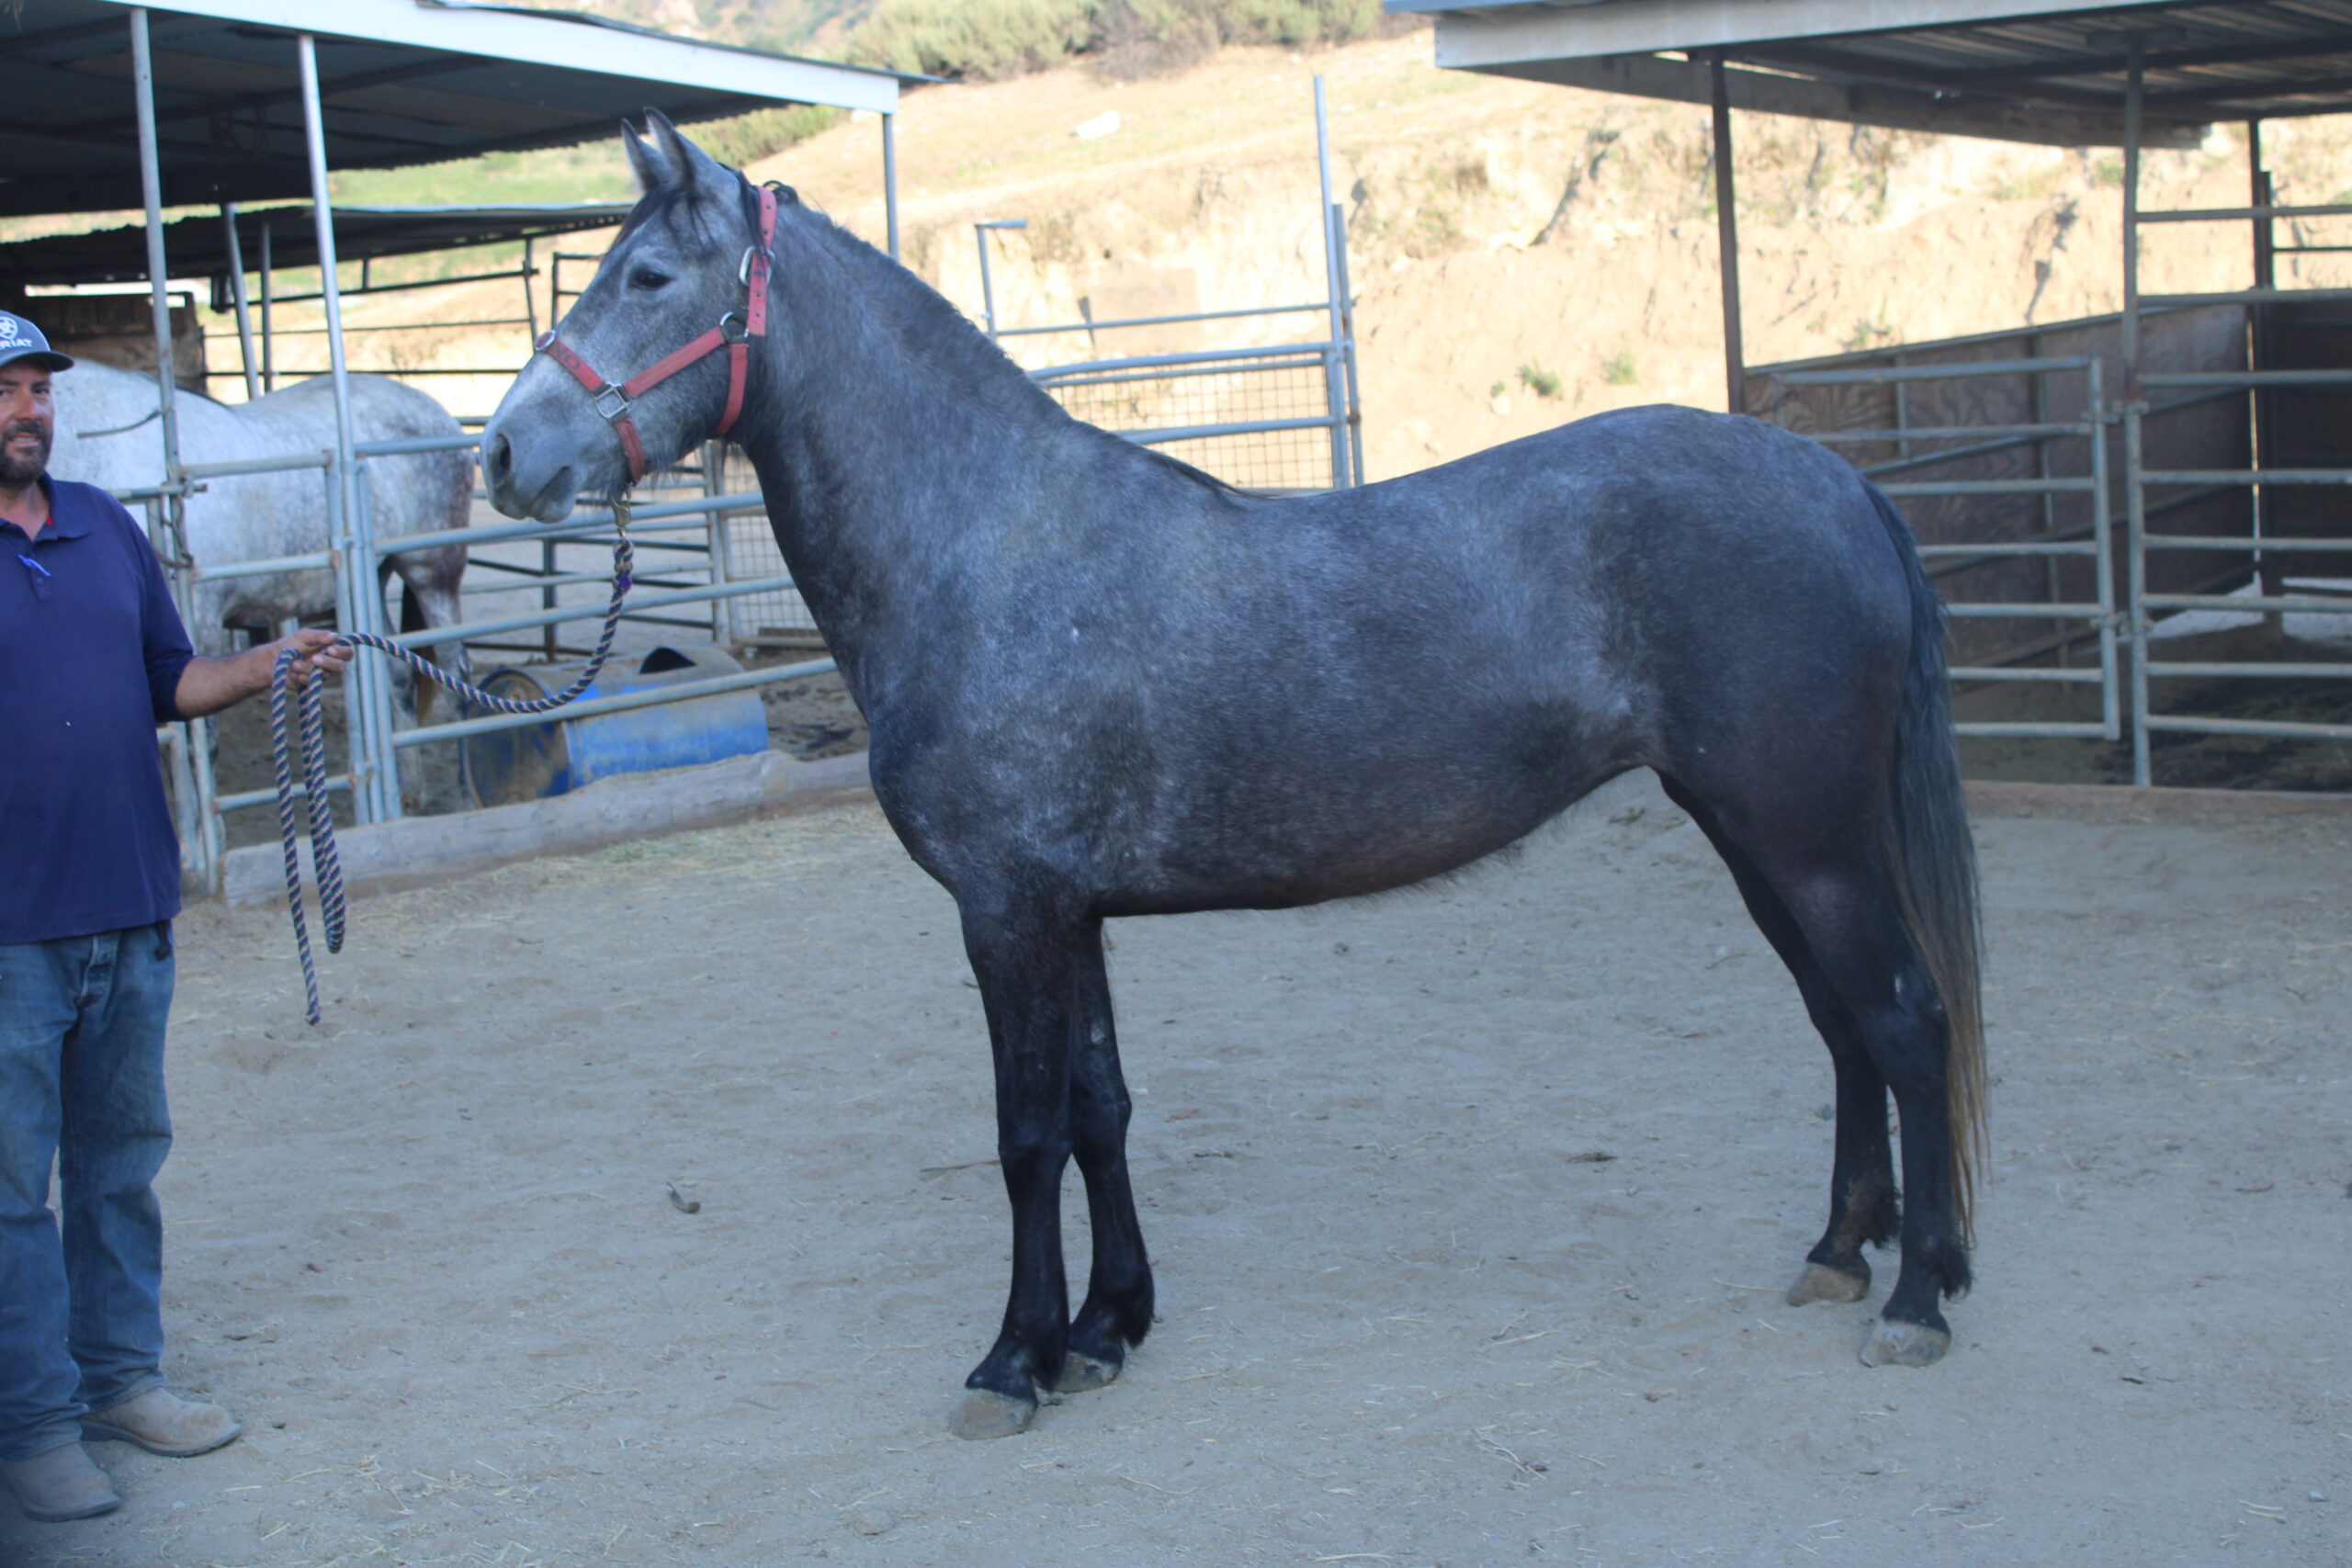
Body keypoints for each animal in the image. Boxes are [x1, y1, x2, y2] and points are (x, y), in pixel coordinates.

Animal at [52, 359, 474, 712]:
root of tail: (435, 409)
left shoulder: (198, 621)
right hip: (375, 574)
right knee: (398, 679)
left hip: (432, 574)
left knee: (456, 676)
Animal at [481, 112, 1987, 1441]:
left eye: (647, 279)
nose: (504, 453)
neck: (983, 547)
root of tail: (1838, 481)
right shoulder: (1070, 914)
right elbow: (1099, 1112)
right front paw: (1106, 1329)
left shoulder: (1006, 915)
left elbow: (1026, 1133)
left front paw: (1012, 1362)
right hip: (1753, 833)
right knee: (1843, 1026)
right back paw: (1842, 1251)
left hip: (1806, 839)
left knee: (1904, 1022)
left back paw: (1916, 1299)